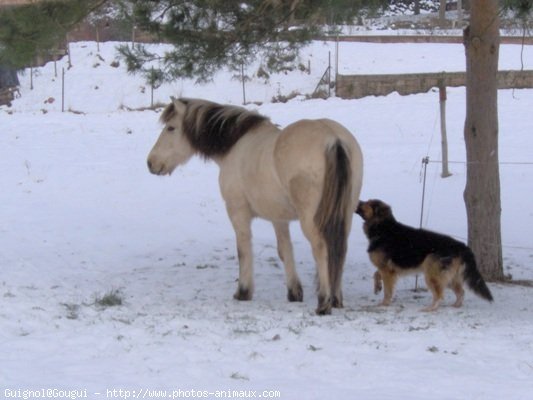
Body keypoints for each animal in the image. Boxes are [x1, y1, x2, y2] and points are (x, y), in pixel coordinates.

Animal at [147, 97, 362, 316]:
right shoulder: (279, 218)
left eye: (171, 128)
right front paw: (294, 293)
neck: (235, 145)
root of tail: (333, 138)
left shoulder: (237, 213)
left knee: (321, 248)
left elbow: (243, 250)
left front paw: (243, 291)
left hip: (311, 219)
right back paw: (336, 299)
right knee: (339, 250)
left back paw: (324, 302)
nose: (151, 162)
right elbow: (285, 251)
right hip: (344, 215)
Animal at [356, 199, 492, 310]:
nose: (357, 200)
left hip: (432, 274)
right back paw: (455, 306)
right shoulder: (387, 268)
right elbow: (376, 274)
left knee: (439, 295)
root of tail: (461, 246)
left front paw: (384, 303)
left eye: (367, 203)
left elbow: (388, 291)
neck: (383, 228)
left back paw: (430, 309)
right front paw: (377, 287)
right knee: (461, 292)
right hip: (449, 277)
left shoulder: (387, 270)